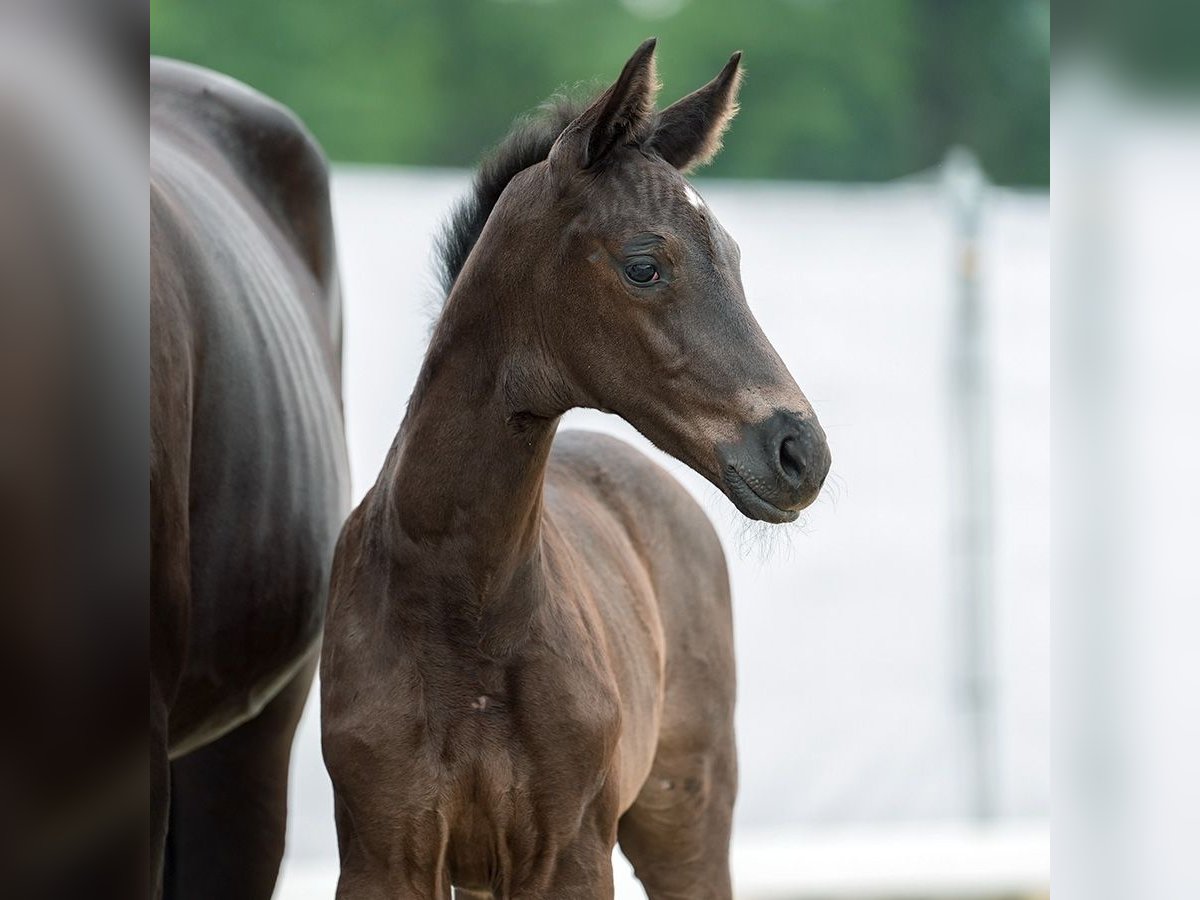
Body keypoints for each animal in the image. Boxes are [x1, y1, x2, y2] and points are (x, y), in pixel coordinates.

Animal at [324, 40, 830, 900]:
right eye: (644, 266)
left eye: (732, 257)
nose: (801, 452)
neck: (460, 596)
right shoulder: (382, 853)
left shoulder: (570, 852)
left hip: (685, 818)